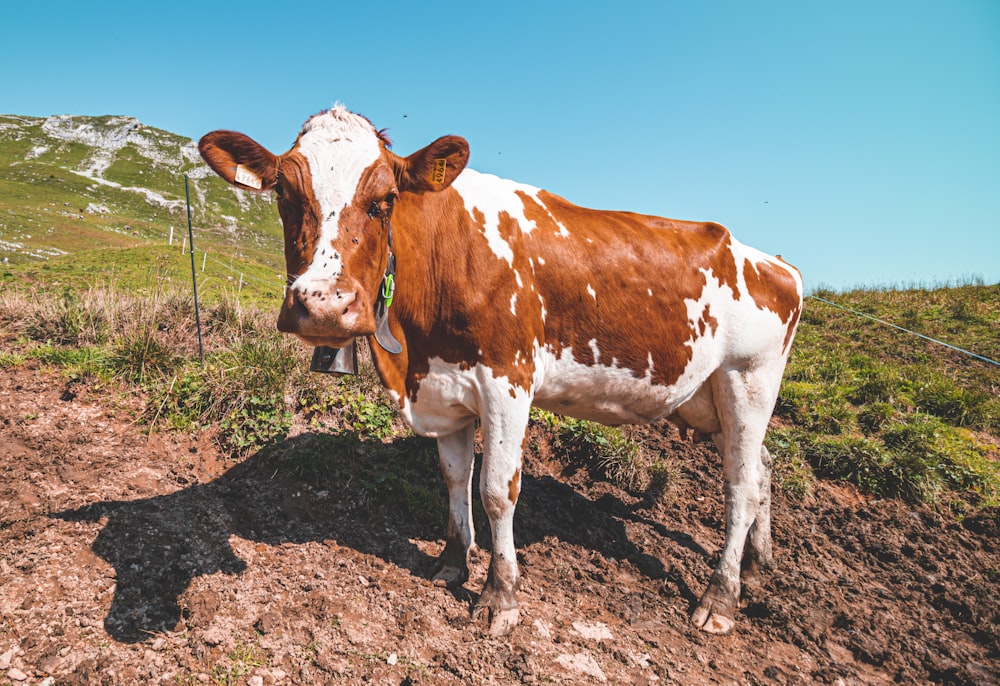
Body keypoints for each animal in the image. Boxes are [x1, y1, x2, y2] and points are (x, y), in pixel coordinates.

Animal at [199, 106, 800, 640]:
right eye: (284, 195)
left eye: (383, 202)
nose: (323, 304)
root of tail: (774, 261)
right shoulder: (443, 388)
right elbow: (453, 478)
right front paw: (451, 562)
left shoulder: (508, 380)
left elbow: (496, 487)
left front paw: (499, 596)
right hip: (709, 397)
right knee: (764, 467)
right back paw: (757, 563)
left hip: (748, 381)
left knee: (741, 486)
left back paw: (719, 599)